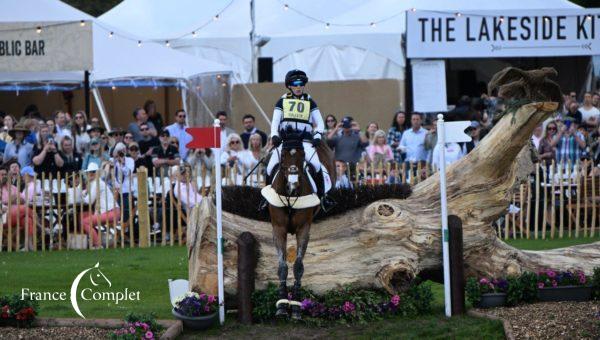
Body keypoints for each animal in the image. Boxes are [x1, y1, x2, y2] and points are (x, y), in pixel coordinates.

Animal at [268, 133, 338, 318]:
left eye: (302, 156)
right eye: (283, 156)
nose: (293, 184)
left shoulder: (303, 229)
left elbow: (298, 266)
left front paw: (296, 307)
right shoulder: (278, 229)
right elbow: (282, 266)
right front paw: (282, 305)